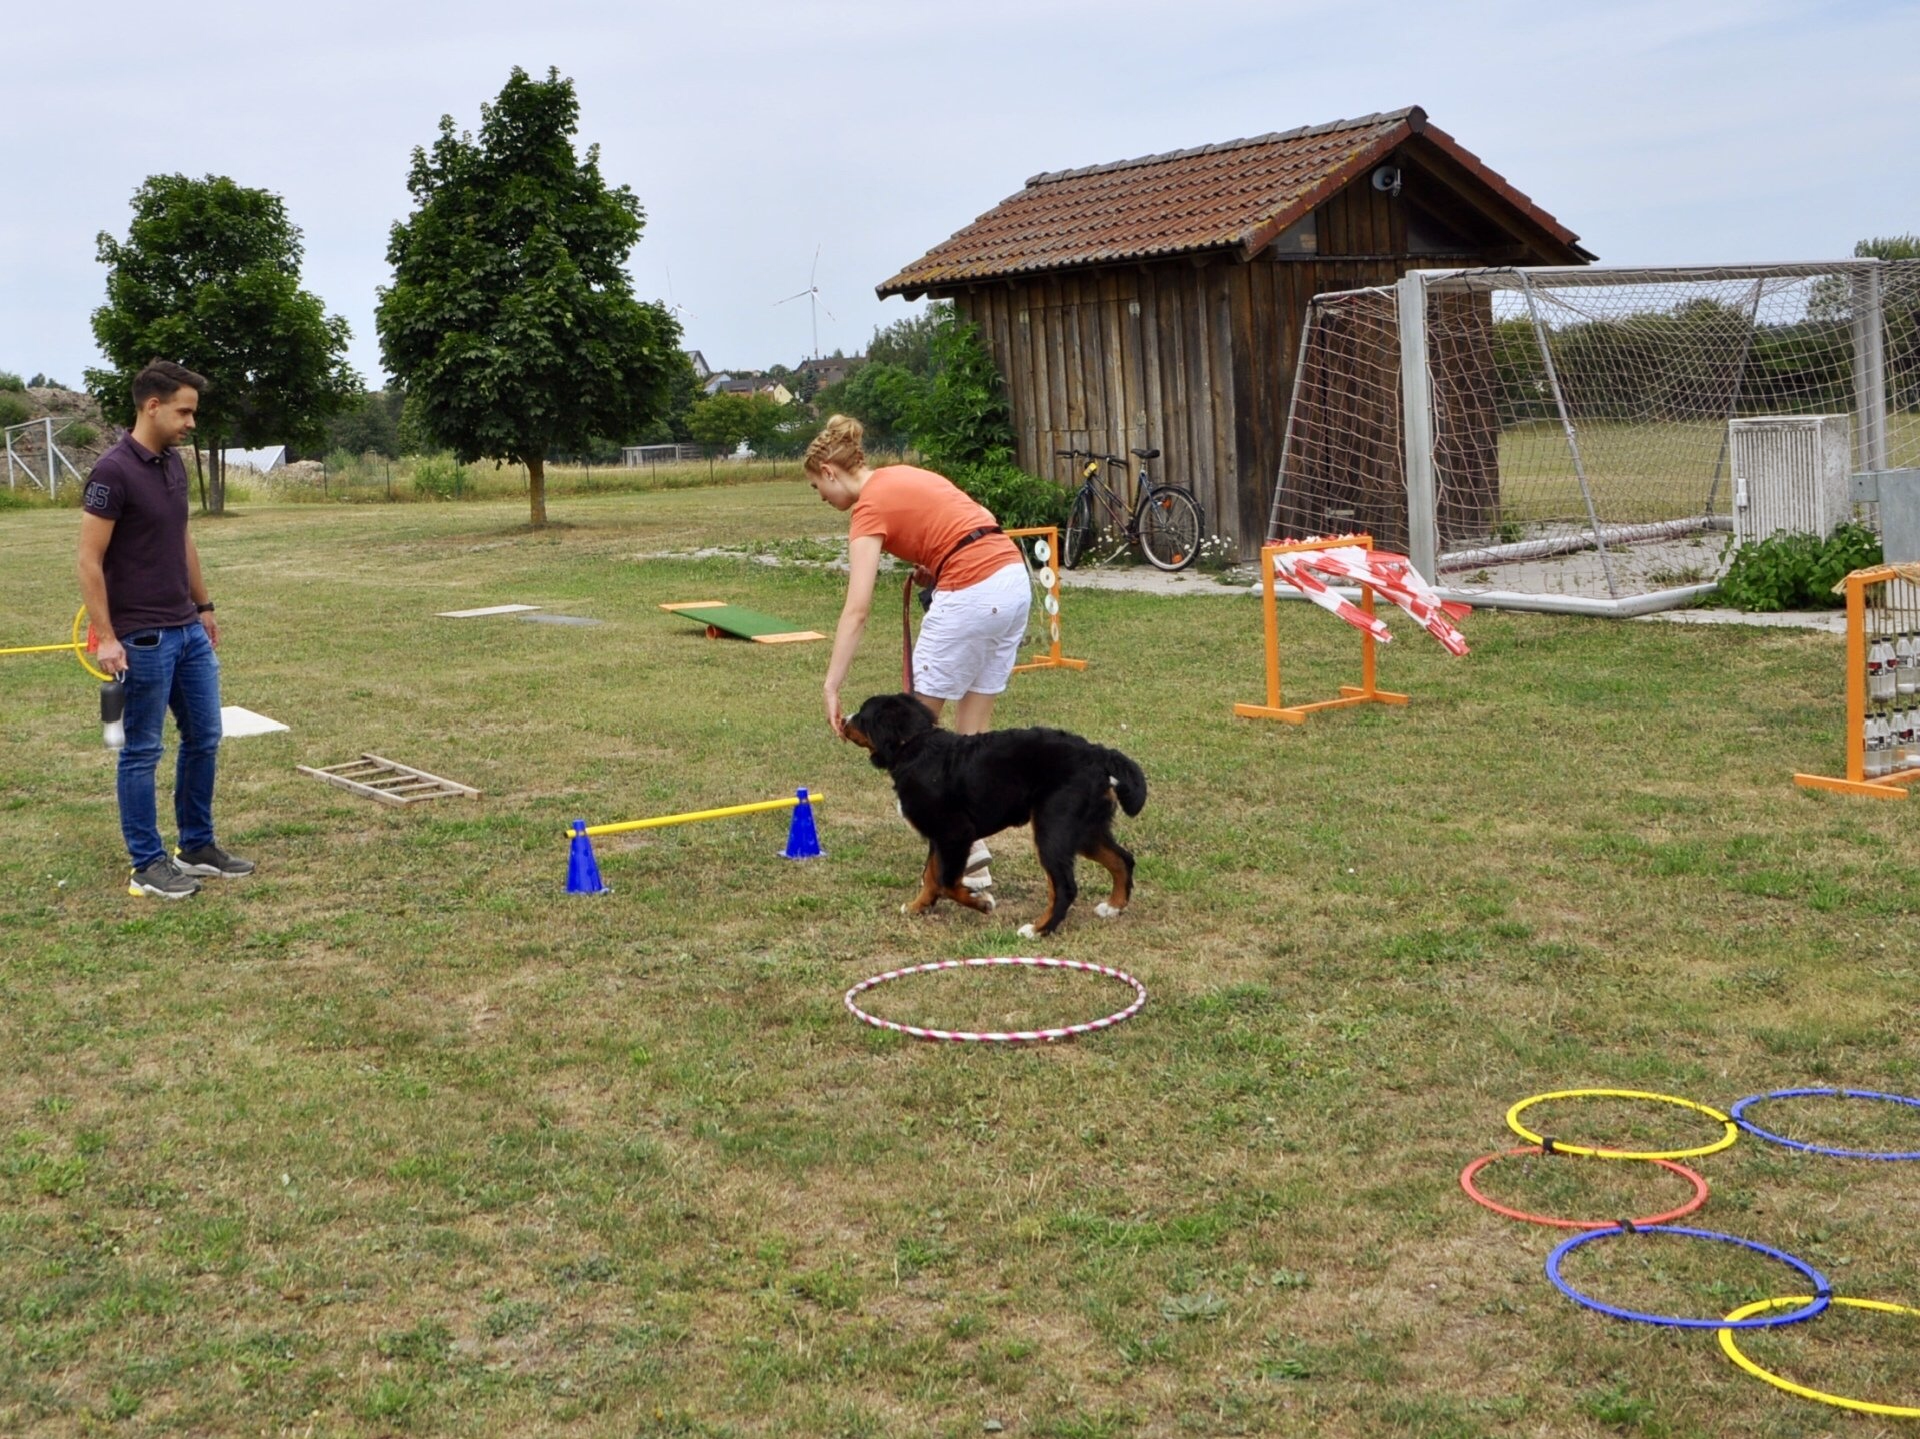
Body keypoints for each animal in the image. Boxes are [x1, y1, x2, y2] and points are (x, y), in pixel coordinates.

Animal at [841, 692, 1147, 937]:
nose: (843, 720)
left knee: (1064, 886)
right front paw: (918, 906)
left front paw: (981, 903)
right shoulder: (939, 837)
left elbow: (947, 881)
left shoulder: (955, 833)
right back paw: (1113, 907)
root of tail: (1097, 753)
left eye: (862, 715)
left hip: (1053, 829)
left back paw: (1038, 929)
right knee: (1123, 860)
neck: (913, 747)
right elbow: (931, 875)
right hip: (1084, 830)